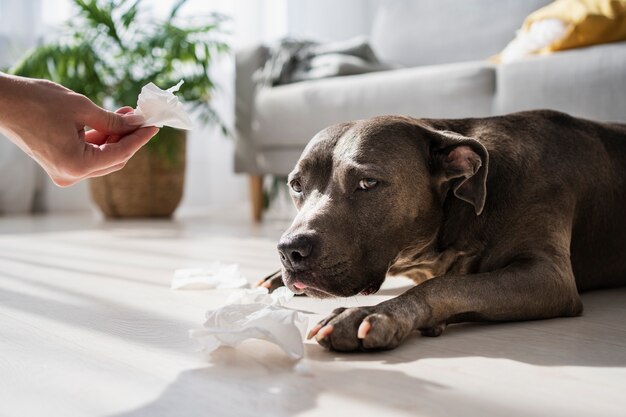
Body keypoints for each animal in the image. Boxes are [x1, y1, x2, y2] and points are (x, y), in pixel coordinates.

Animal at [258, 110, 624, 352]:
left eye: (368, 183)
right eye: (296, 185)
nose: (289, 250)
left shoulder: (548, 275)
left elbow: (445, 284)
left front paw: (376, 313)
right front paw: (275, 276)